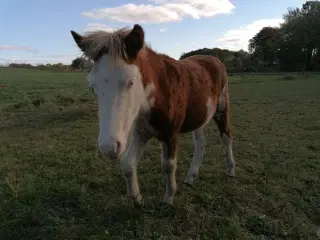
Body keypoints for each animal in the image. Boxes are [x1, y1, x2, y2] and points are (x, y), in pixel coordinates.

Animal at [70, 24, 235, 206]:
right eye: (93, 87)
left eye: (130, 82)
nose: (109, 148)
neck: (158, 95)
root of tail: (215, 60)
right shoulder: (141, 133)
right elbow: (128, 164)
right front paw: (136, 198)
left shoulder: (171, 134)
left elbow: (168, 165)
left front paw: (169, 197)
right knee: (200, 142)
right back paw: (191, 176)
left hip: (222, 110)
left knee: (226, 137)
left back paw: (230, 169)